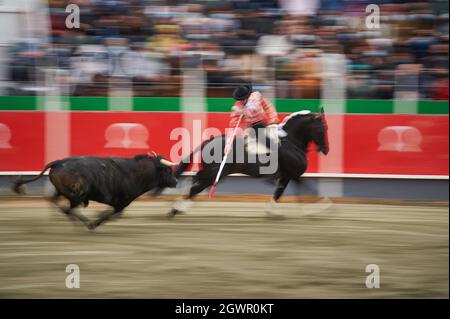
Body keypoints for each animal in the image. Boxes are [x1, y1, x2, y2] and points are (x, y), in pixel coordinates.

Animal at [12, 155, 178, 230]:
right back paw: (86, 223)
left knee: (55, 202)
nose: (176, 181)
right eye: (168, 170)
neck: (134, 173)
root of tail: (59, 162)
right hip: (78, 194)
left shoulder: (119, 204)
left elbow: (111, 214)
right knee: (69, 208)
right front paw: (95, 222)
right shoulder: (122, 203)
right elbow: (110, 214)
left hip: (61, 191)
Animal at [167, 109, 328, 219]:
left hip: (210, 173)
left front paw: (272, 211)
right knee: (194, 188)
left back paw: (180, 207)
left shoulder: (288, 176)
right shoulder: (294, 175)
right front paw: (322, 206)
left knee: (194, 182)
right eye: (322, 128)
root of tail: (208, 142)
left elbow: (280, 193)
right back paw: (176, 209)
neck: (291, 141)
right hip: (213, 174)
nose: (326, 150)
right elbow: (307, 189)